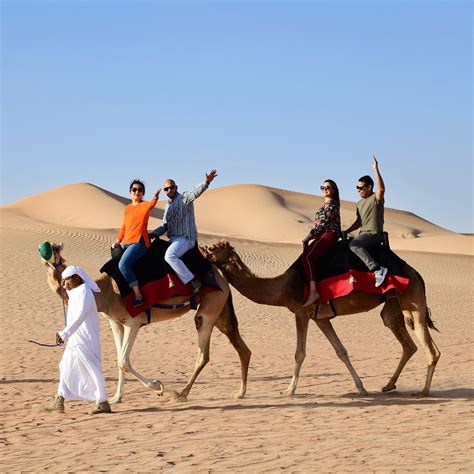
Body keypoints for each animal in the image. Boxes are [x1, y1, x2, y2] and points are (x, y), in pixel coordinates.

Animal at [41, 244, 252, 404]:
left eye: (56, 253)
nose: (45, 252)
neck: (105, 291)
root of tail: (221, 276)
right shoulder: (115, 322)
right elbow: (119, 360)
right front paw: (117, 397)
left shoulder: (133, 322)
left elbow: (123, 360)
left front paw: (158, 387)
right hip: (221, 311)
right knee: (242, 348)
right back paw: (240, 392)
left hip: (210, 307)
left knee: (203, 352)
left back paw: (181, 393)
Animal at [203, 241, 440, 396]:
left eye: (214, 248)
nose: (202, 248)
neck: (282, 288)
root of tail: (417, 274)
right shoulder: (321, 318)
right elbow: (341, 351)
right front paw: (361, 388)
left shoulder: (301, 313)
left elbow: (299, 353)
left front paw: (289, 390)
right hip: (394, 306)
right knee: (407, 342)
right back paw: (389, 385)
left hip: (412, 301)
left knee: (430, 349)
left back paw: (423, 391)